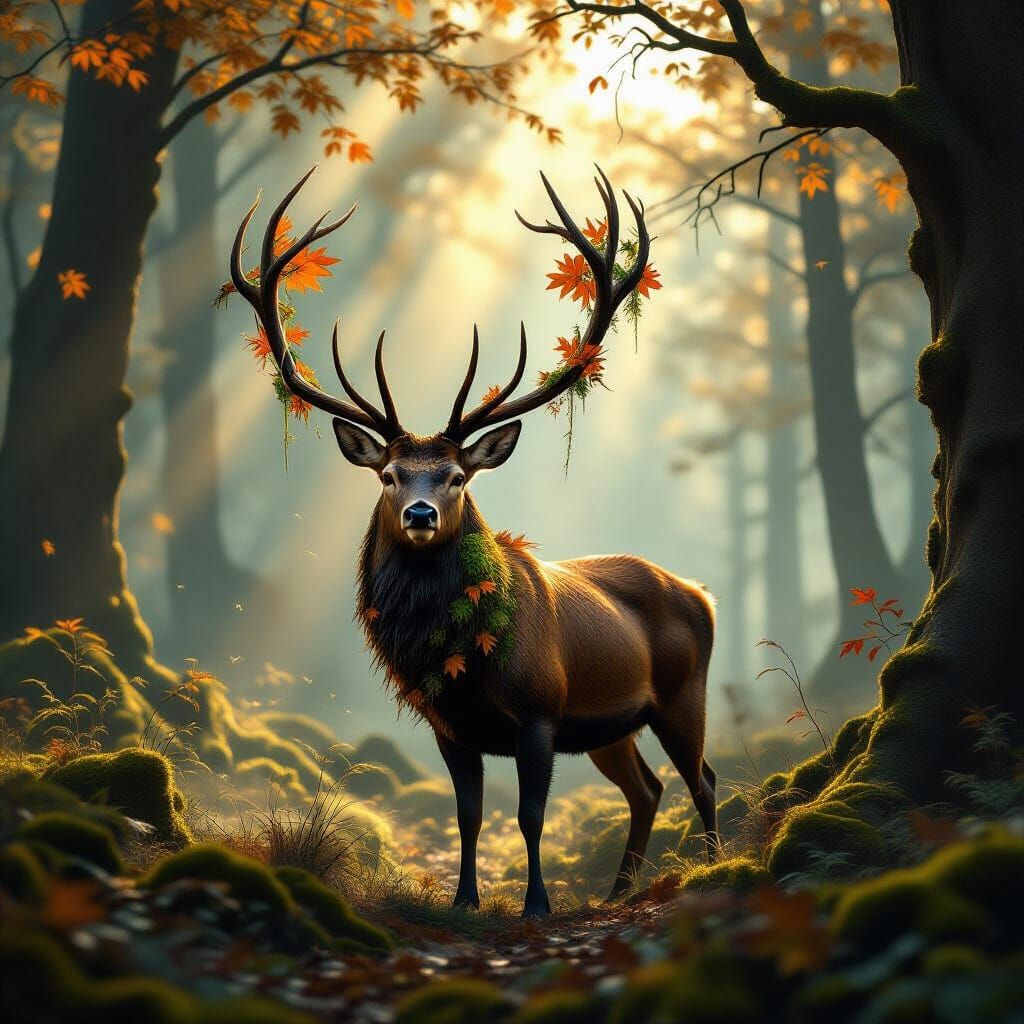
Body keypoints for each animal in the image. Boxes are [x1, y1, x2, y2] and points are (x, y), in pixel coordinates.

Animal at [230, 167, 719, 918]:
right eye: (390, 474)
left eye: (457, 475)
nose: (421, 513)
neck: (464, 655)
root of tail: (702, 592)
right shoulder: (450, 725)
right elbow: (468, 815)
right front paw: (465, 901)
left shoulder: (541, 711)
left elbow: (530, 814)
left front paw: (536, 904)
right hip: (613, 725)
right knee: (648, 788)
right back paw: (616, 892)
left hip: (682, 693)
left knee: (702, 780)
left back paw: (718, 867)